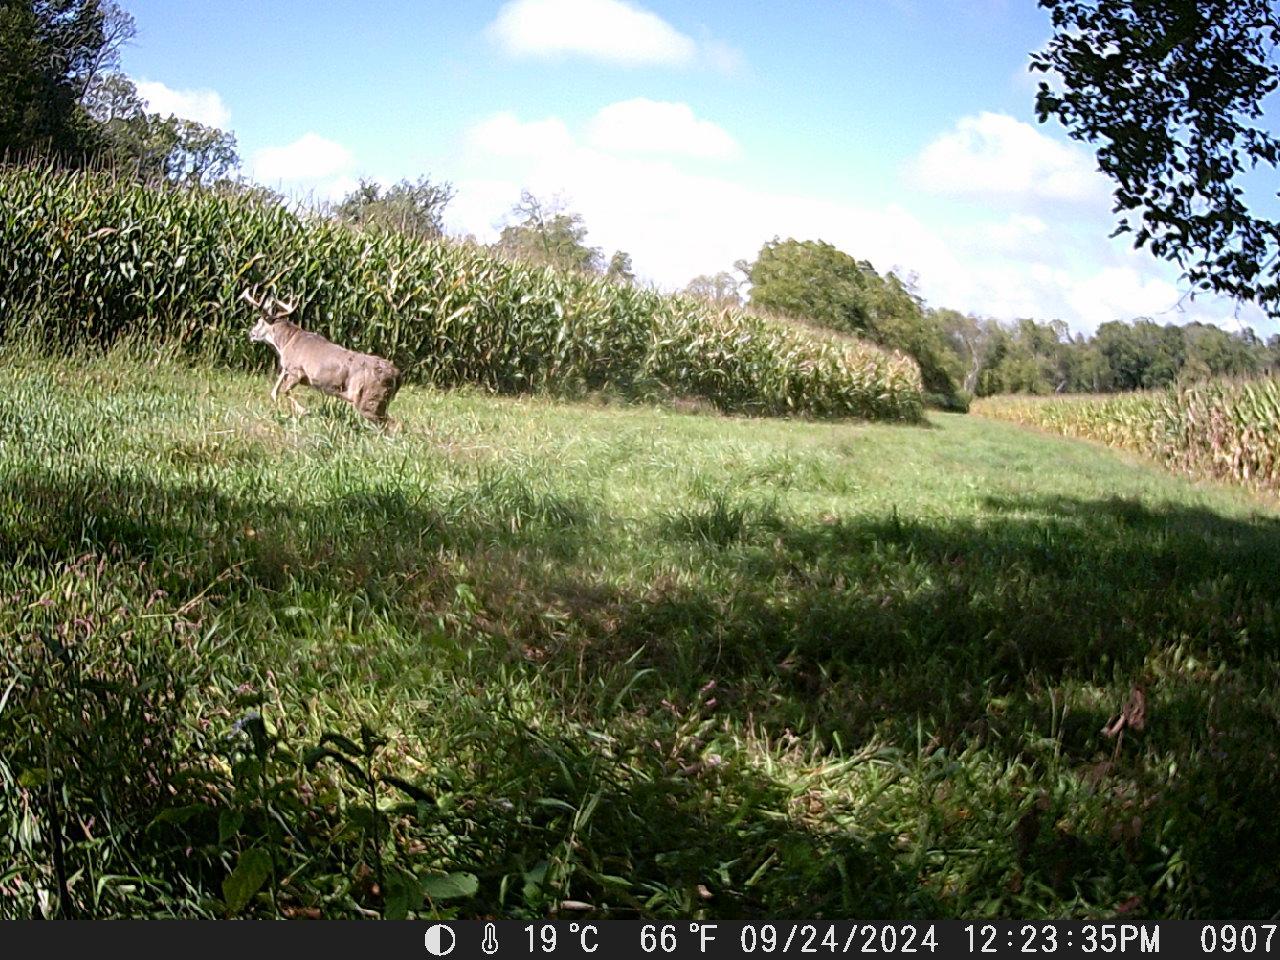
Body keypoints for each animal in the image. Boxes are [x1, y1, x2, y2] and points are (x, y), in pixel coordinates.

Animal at [242, 289, 401, 426]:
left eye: (259, 321)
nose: (250, 334)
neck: (287, 341)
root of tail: (396, 375)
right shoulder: (287, 369)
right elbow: (275, 390)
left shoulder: (297, 370)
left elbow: (285, 390)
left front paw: (304, 411)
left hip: (369, 398)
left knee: (392, 424)